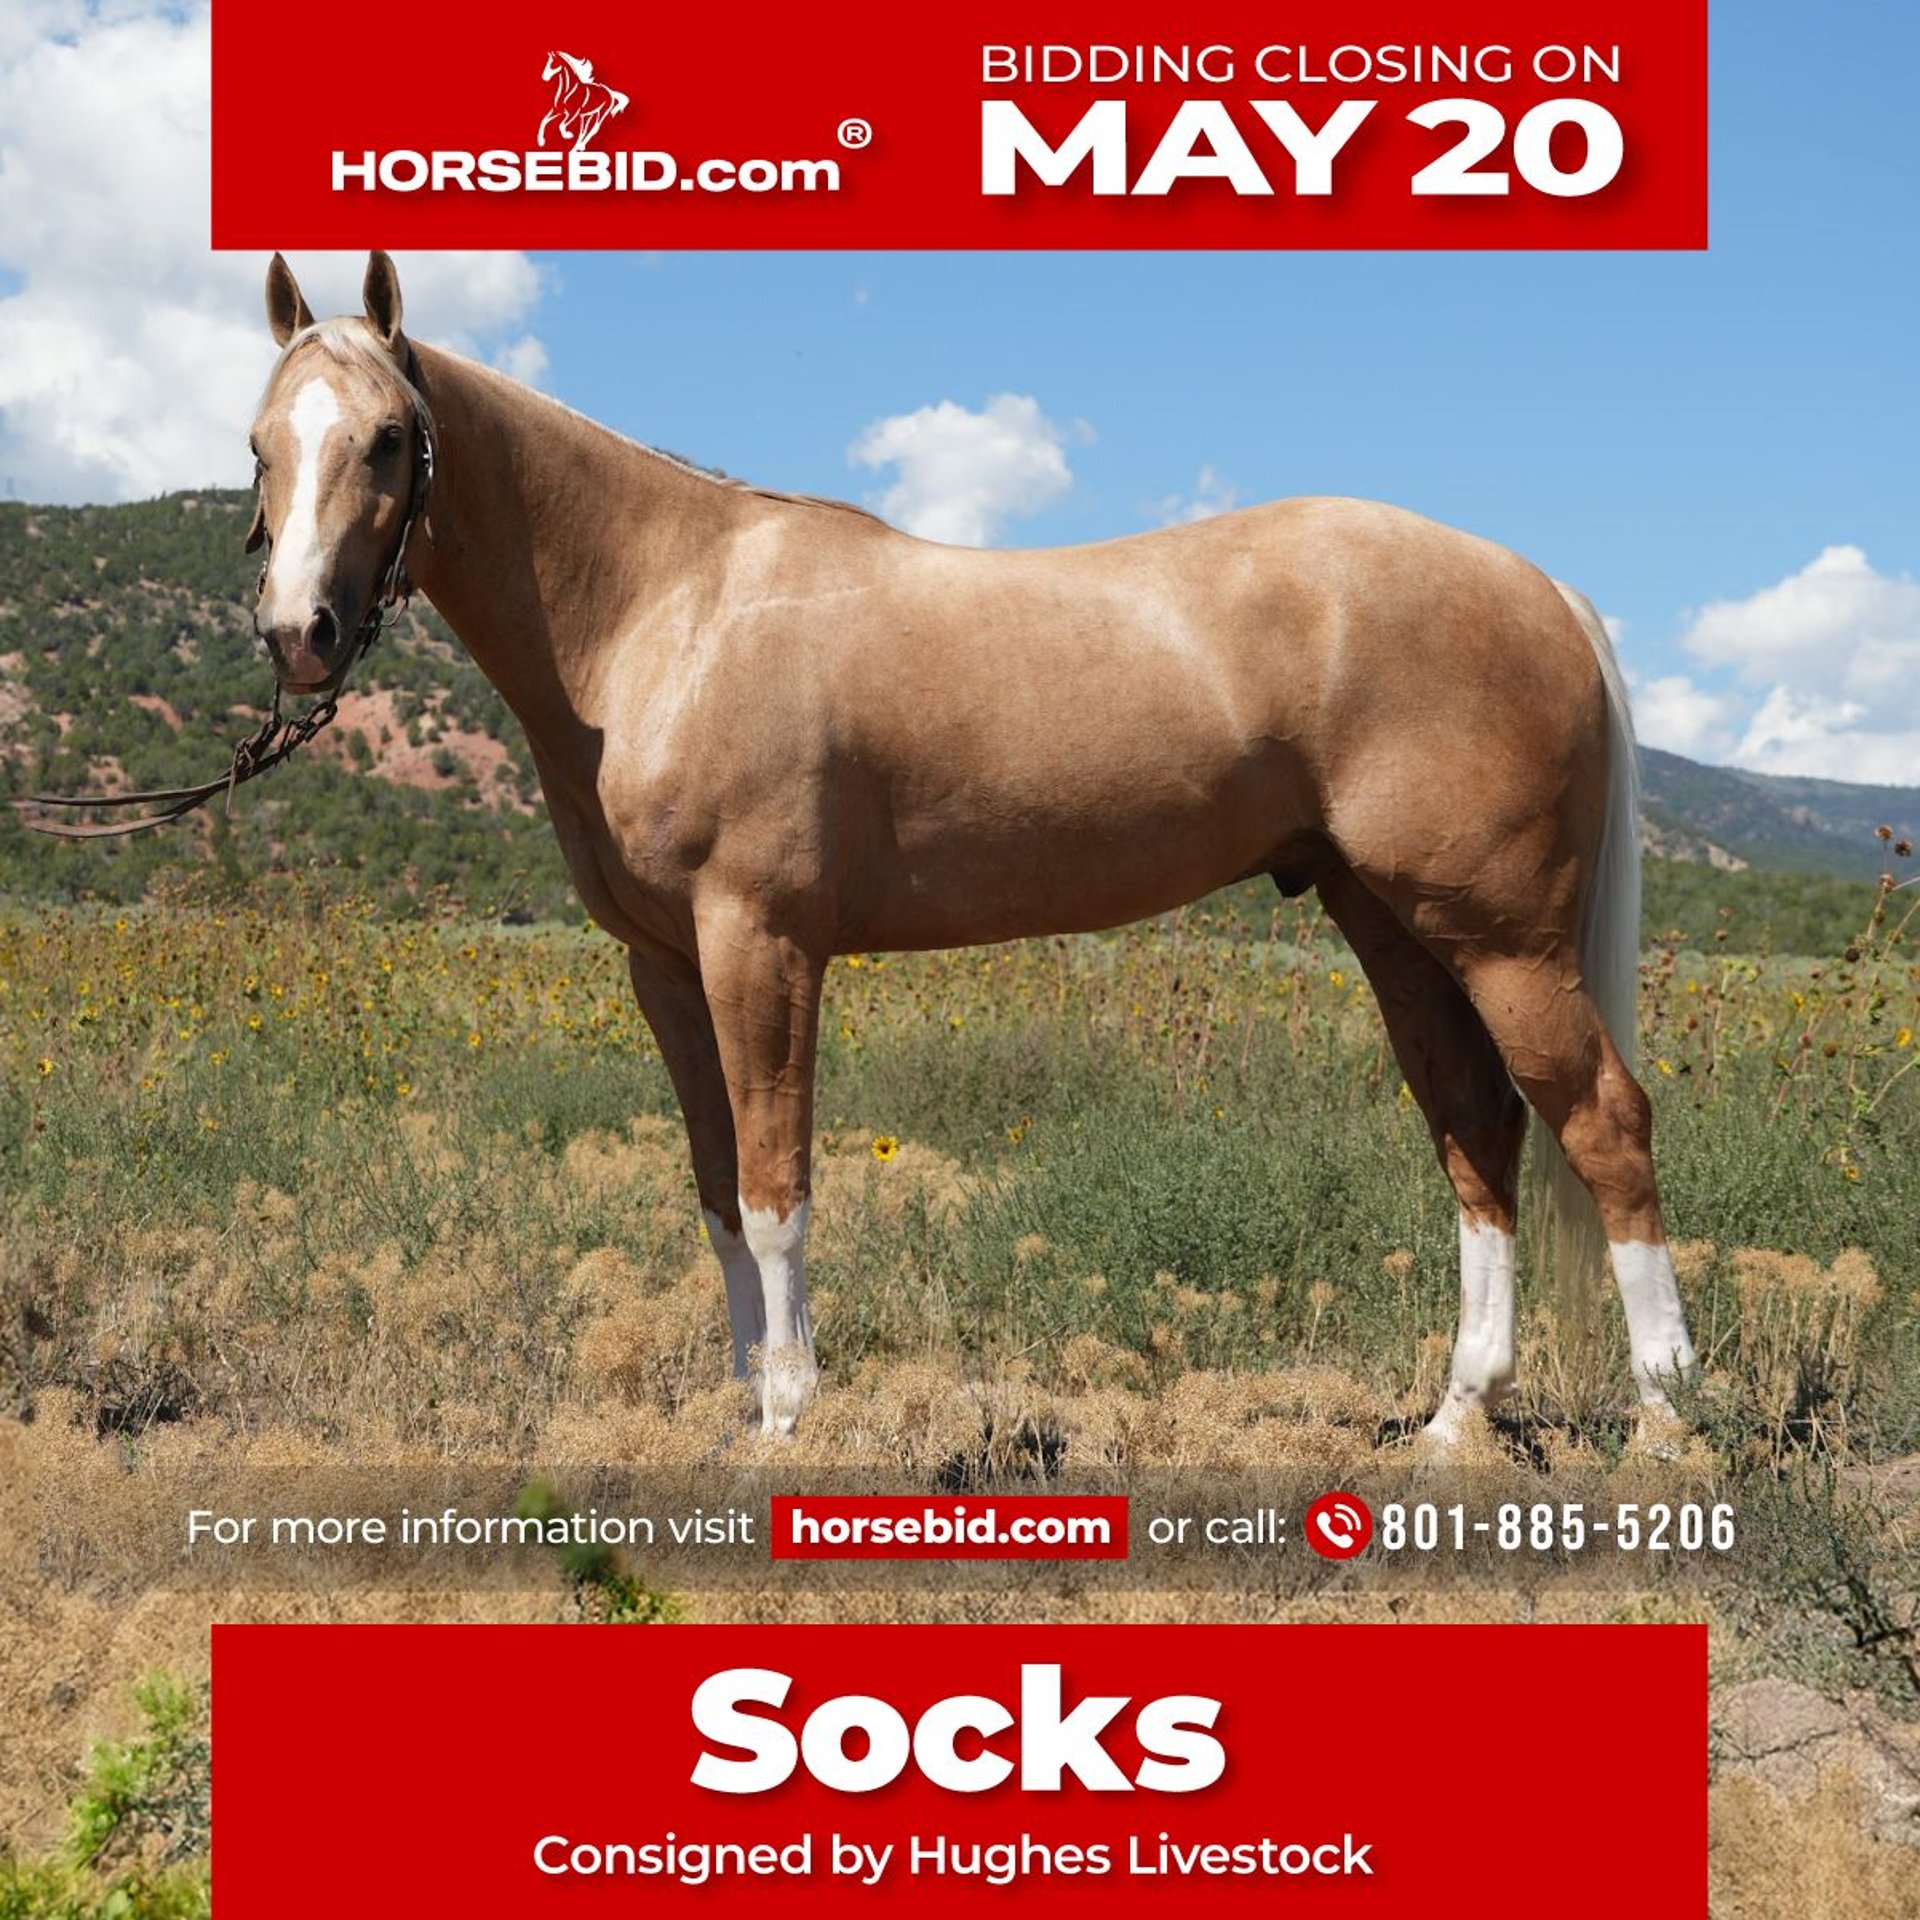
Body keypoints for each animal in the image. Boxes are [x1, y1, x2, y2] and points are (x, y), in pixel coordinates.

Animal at [243, 252, 1699, 1441]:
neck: (670, 610)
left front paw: (790, 1410)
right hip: (1393, 925)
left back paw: (1667, 1414)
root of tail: (1539, 585)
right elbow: (716, 1187)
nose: (299, 633)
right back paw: (1458, 1418)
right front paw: (741, 1398)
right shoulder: (664, 966)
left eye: (389, 438)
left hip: (1505, 940)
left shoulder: (760, 944)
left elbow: (776, 1185)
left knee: (1603, 1121)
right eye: (262, 444)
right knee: (1478, 1130)